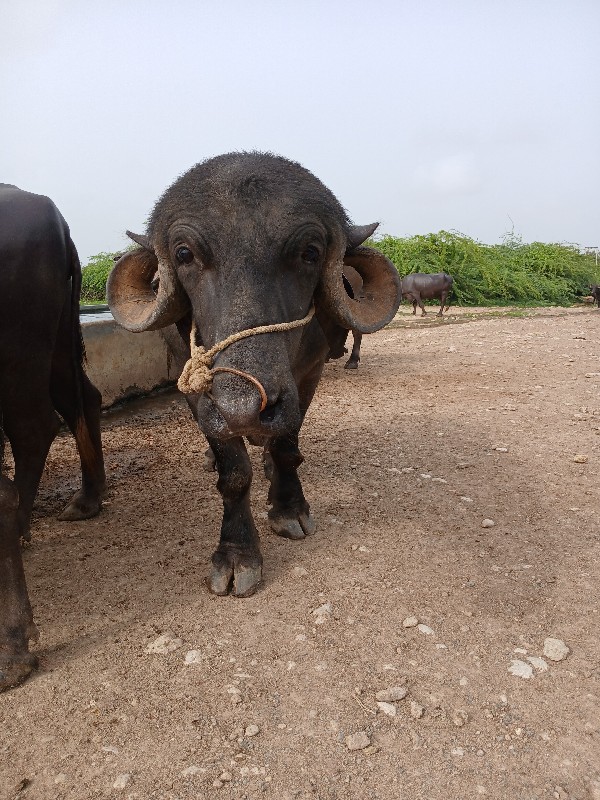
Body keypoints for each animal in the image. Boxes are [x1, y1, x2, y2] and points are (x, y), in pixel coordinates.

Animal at [109, 152, 398, 600]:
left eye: (310, 252)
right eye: (184, 254)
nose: (244, 411)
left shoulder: (308, 376)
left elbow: (286, 447)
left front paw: (289, 508)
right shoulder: (196, 388)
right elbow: (233, 473)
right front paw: (236, 554)